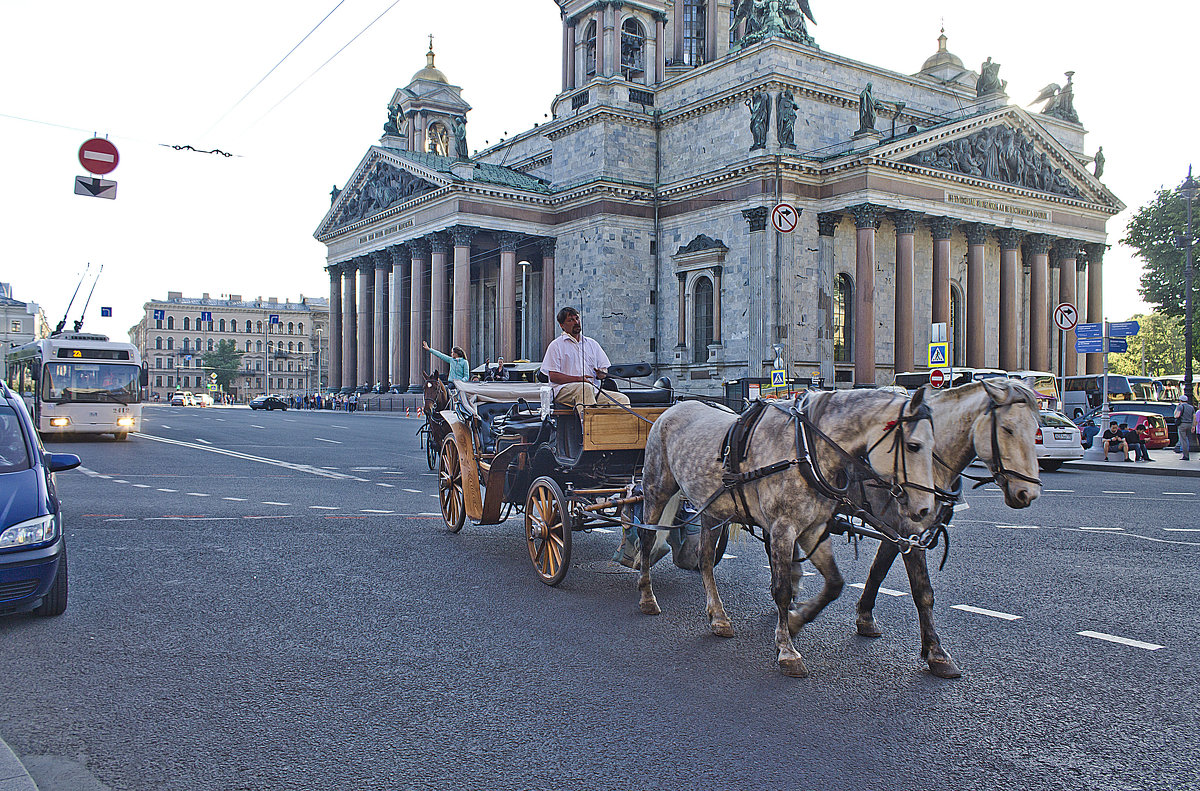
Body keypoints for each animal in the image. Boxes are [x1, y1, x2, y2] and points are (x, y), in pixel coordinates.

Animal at [633, 386, 940, 676]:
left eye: (934, 446)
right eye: (913, 446)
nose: (925, 509)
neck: (804, 450)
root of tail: (673, 409)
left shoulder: (814, 529)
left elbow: (835, 584)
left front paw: (795, 621)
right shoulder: (783, 529)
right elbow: (781, 589)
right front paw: (787, 651)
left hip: (711, 511)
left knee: (705, 559)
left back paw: (718, 617)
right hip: (656, 490)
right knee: (647, 538)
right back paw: (647, 597)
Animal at [811, 381, 1046, 676]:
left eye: (1036, 429)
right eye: (1007, 428)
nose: (1028, 493)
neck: (930, 462)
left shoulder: (897, 533)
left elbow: (877, 572)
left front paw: (865, 617)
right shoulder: (909, 533)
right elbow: (923, 592)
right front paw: (937, 653)